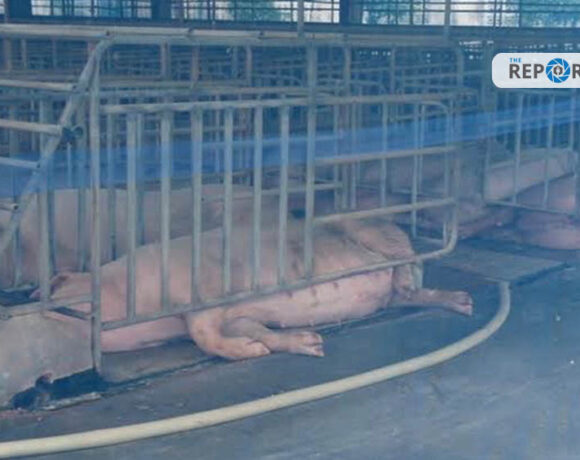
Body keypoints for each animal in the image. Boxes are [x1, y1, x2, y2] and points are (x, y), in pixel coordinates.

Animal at [38, 216, 472, 360]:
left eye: (53, 294)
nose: (32, 300)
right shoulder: (235, 315)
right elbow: (249, 330)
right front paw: (311, 344)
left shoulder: (202, 293)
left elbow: (206, 337)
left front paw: (252, 352)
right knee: (408, 296)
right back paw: (464, 303)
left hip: (379, 236)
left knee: (407, 267)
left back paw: (457, 298)